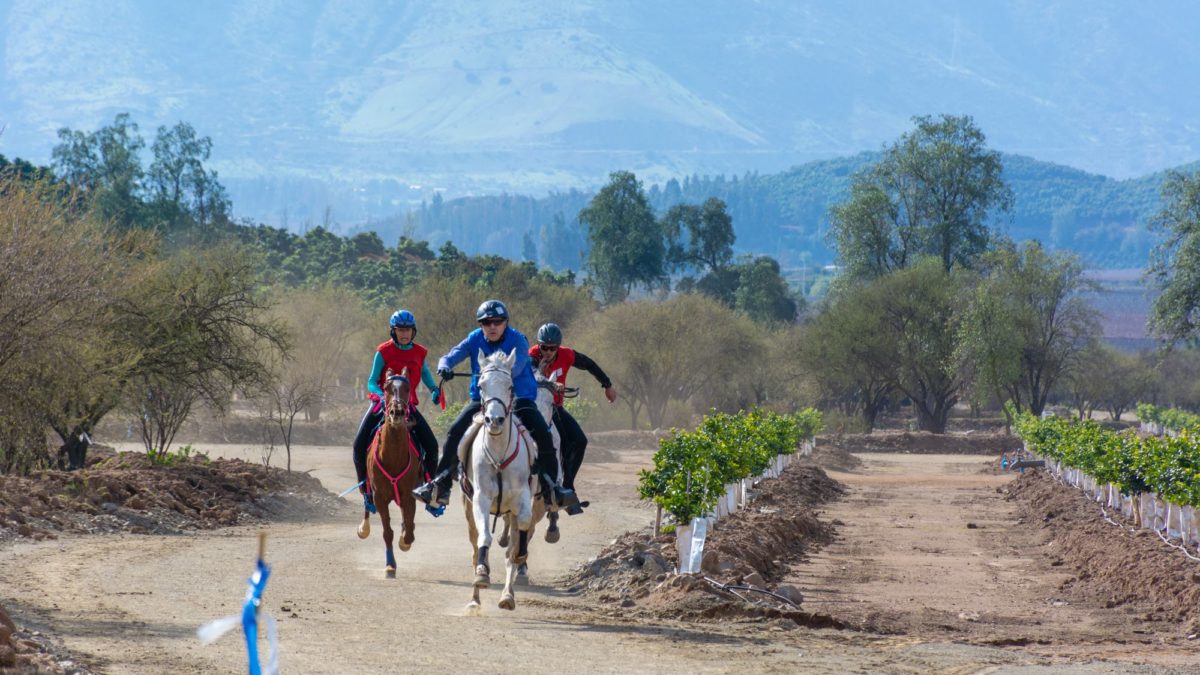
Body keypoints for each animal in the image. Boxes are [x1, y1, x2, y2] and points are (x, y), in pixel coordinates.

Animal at [360, 369, 422, 576]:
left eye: (407, 388)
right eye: (386, 388)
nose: (398, 412)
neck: (393, 456)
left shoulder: (408, 495)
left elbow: (409, 529)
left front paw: (404, 541)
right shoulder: (379, 497)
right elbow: (387, 532)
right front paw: (390, 566)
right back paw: (363, 528)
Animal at [460, 345, 547, 610]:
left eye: (510, 386)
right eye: (481, 386)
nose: (494, 420)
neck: (499, 455)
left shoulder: (523, 500)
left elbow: (518, 542)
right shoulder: (480, 499)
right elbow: (484, 538)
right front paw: (482, 575)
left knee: (512, 548)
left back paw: (508, 596)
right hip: (469, 508)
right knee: (475, 545)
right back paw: (475, 597)